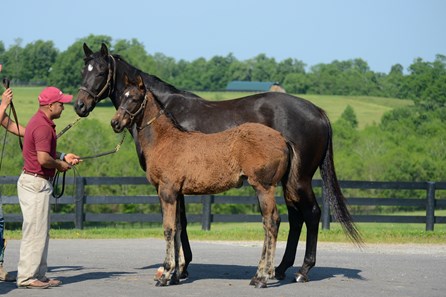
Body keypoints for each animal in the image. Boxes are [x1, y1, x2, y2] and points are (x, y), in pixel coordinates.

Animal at [74, 42, 362, 282]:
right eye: (82, 70)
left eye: (101, 72)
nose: (79, 105)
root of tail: (319, 112)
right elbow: (179, 224)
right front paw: (178, 268)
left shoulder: (172, 186)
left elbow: (177, 224)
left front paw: (176, 269)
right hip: (287, 182)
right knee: (295, 217)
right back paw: (279, 269)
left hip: (299, 180)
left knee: (309, 215)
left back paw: (301, 271)